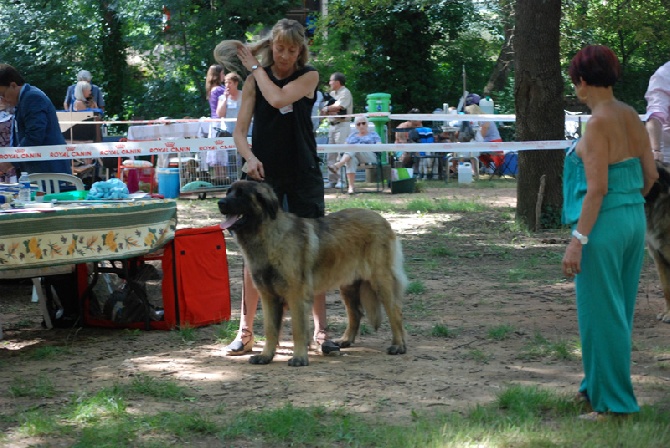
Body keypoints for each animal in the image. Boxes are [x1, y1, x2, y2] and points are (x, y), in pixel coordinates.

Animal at [219, 180, 410, 366]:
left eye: (241, 194)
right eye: (228, 191)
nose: (220, 202)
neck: (266, 235)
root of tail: (381, 219)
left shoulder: (295, 295)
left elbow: (298, 329)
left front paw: (299, 358)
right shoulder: (268, 296)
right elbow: (270, 329)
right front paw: (265, 356)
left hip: (381, 281)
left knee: (395, 311)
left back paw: (398, 345)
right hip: (348, 286)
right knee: (355, 313)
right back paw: (345, 340)